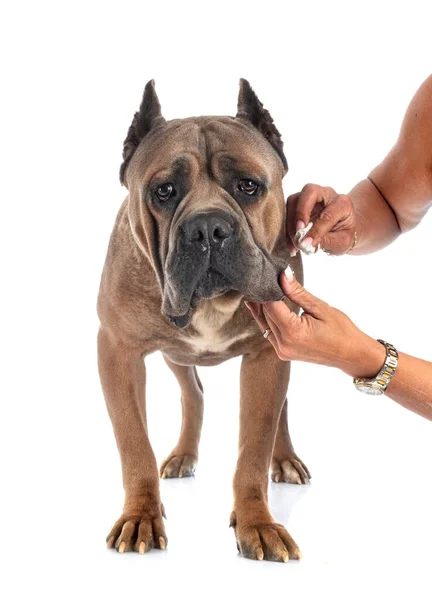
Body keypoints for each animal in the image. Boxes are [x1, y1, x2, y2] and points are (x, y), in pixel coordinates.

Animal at [96, 79, 308, 564]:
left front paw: (257, 522)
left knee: (280, 410)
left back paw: (285, 459)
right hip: (175, 355)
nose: (208, 227)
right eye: (164, 191)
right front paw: (141, 515)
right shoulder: (117, 352)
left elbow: (254, 447)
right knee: (193, 392)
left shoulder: (268, 355)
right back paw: (182, 455)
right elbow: (133, 442)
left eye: (248, 186)